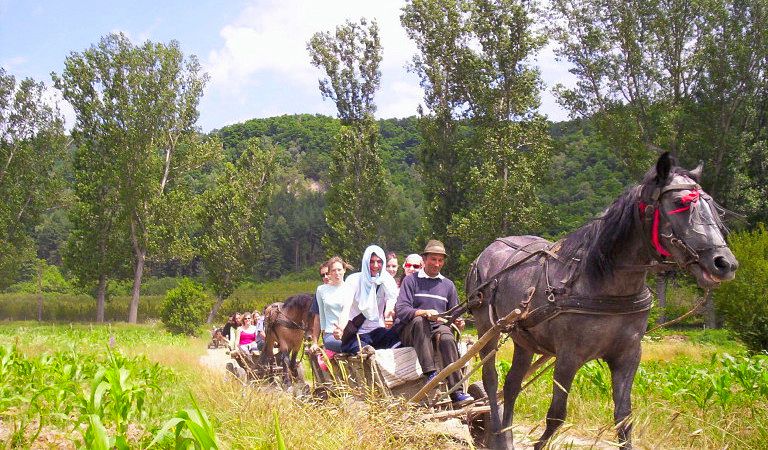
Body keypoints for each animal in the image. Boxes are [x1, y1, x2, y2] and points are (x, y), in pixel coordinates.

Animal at [468, 153, 736, 448]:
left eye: (714, 208)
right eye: (680, 203)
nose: (725, 263)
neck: (604, 286)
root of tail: (487, 252)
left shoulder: (628, 356)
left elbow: (623, 418)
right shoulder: (568, 357)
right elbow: (556, 416)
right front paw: (539, 444)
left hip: (524, 340)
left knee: (512, 385)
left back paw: (505, 436)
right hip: (486, 330)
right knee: (491, 381)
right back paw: (494, 430)